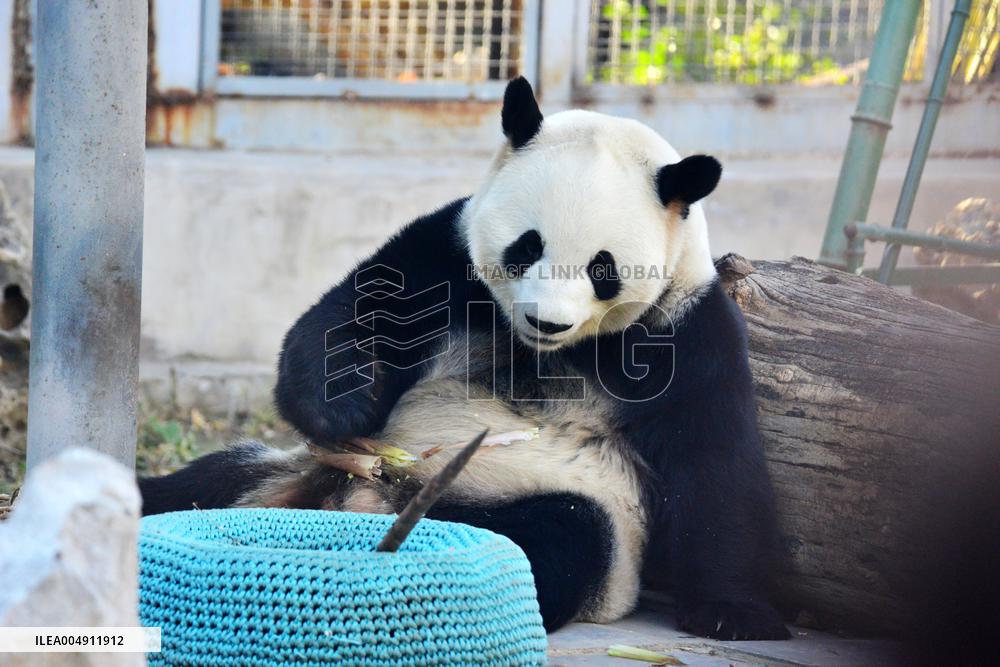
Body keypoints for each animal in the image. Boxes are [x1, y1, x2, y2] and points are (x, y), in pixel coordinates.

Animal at [140, 77, 790, 641]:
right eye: (528, 245)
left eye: (602, 268)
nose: (546, 321)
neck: (546, 350)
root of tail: (356, 501)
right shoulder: (448, 254)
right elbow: (360, 310)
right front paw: (340, 408)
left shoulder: (685, 328)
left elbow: (715, 459)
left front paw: (736, 614)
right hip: (287, 468)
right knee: (202, 483)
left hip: (571, 516)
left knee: (559, 540)